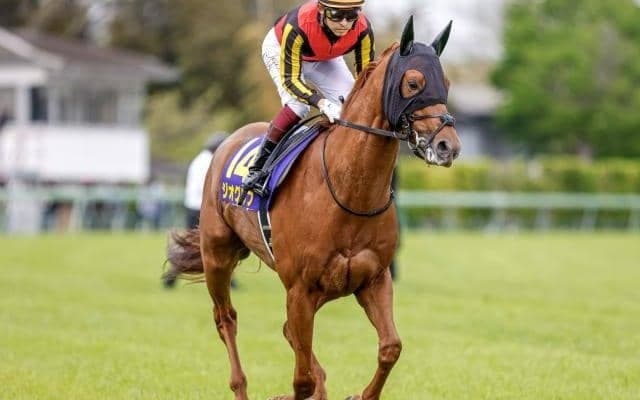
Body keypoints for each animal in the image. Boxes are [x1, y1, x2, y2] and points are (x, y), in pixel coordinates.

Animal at [166, 17, 461, 400]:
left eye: (447, 83)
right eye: (413, 83)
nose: (447, 146)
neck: (350, 191)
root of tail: (227, 142)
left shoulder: (374, 279)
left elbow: (390, 347)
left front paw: (360, 394)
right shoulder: (300, 290)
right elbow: (302, 379)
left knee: (288, 333)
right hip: (218, 255)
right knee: (226, 319)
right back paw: (240, 383)